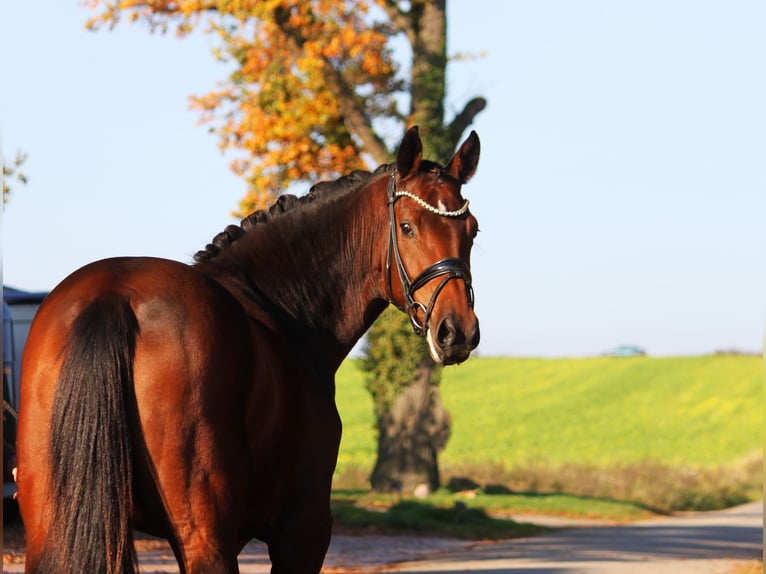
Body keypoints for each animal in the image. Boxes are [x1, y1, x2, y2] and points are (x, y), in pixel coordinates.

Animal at [15, 127, 484, 574]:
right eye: (407, 226)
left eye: (472, 230)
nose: (456, 331)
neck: (281, 308)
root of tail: (114, 294)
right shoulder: (303, 530)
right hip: (205, 540)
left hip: (52, 528)